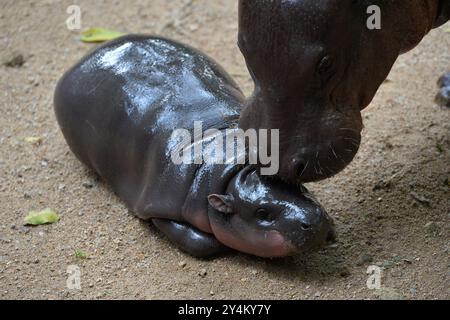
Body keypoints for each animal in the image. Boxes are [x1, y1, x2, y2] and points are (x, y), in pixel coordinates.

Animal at [53, 35, 334, 258]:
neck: (228, 164)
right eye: (262, 213)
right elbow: (197, 241)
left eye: (298, 186)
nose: (312, 220)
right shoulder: (159, 206)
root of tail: (85, 59)